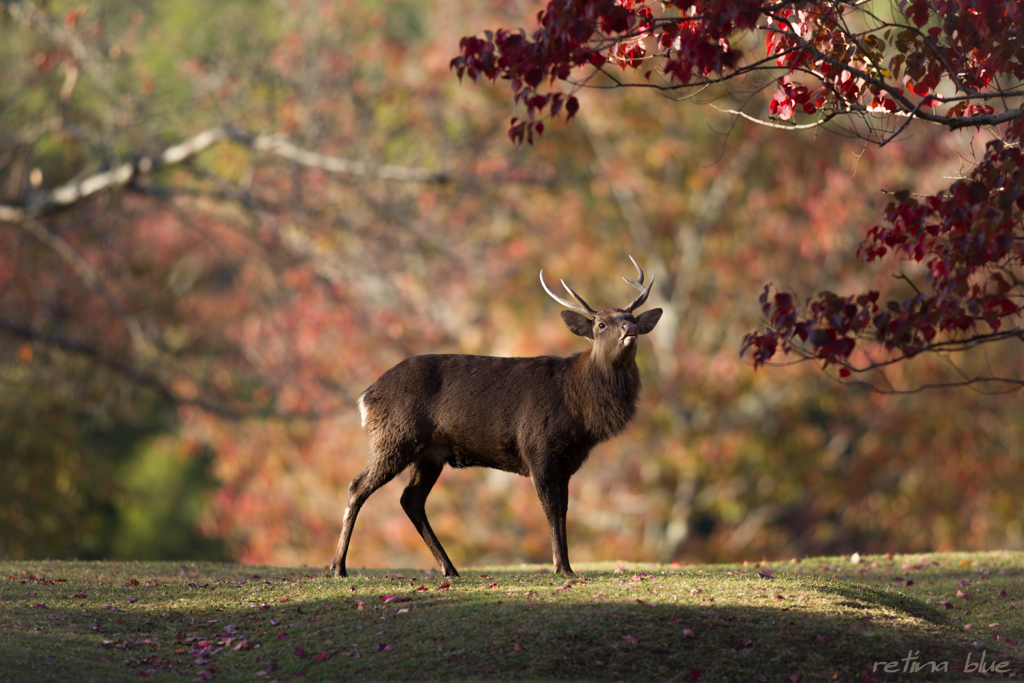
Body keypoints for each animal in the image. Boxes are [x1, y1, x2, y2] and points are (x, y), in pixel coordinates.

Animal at [327, 255, 663, 577]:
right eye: (601, 324)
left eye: (632, 318)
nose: (630, 329)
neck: (578, 409)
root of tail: (365, 396)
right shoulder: (536, 446)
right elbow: (552, 508)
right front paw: (562, 567)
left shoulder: (568, 461)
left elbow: (564, 510)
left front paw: (566, 564)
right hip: (394, 437)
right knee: (358, 487)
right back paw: (338, 567)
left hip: (430, 453)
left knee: (410, 500)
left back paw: (449, 568)